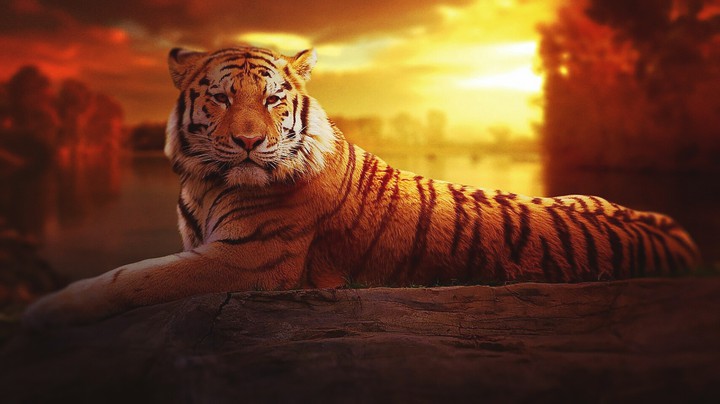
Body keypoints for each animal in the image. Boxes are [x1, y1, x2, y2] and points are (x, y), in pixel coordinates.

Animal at [23, 45, 701, 327]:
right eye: (220, 98)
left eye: (272, 100)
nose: (248, 142)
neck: (205, 183)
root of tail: (676, 232)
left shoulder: (243, 264)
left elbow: (131, 277)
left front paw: (47, 311)